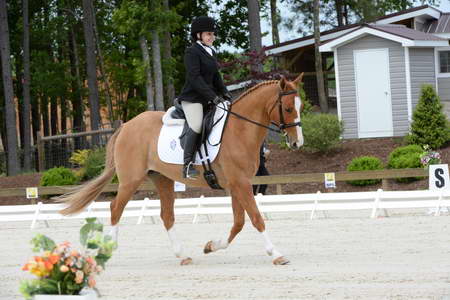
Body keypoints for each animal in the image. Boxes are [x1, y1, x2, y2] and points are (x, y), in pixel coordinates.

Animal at [59, 74, 304, 266]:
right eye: (288, 108)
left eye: (300, 107)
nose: (297, 143)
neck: (240, 129)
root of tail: (126, 125)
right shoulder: (240, 183)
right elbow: (255, 218)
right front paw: (277, 254)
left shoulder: (237, 183)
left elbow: (239, 222)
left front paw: (210, 246)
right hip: (131, 179)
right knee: (115, 208)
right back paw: (108, 249)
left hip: (162, 179)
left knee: (166, 215)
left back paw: (183, 255)